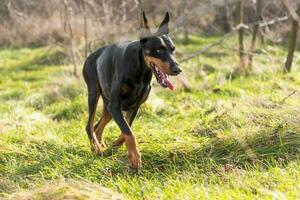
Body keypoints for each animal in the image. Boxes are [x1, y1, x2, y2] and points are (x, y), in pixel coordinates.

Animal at [82, 12, 182, 169]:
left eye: (173, 49)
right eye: (159, 50)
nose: (178, 69)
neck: (140, 70)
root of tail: (91, 56)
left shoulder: (134, 107)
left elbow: (126, 130)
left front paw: (115, 146)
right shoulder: (115, 106)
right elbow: (128, 132)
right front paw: (135, 157)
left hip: (107, 106)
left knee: (98, 126)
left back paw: (101, 147)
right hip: (94, 94)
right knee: (89, 126)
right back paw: (96, 148)